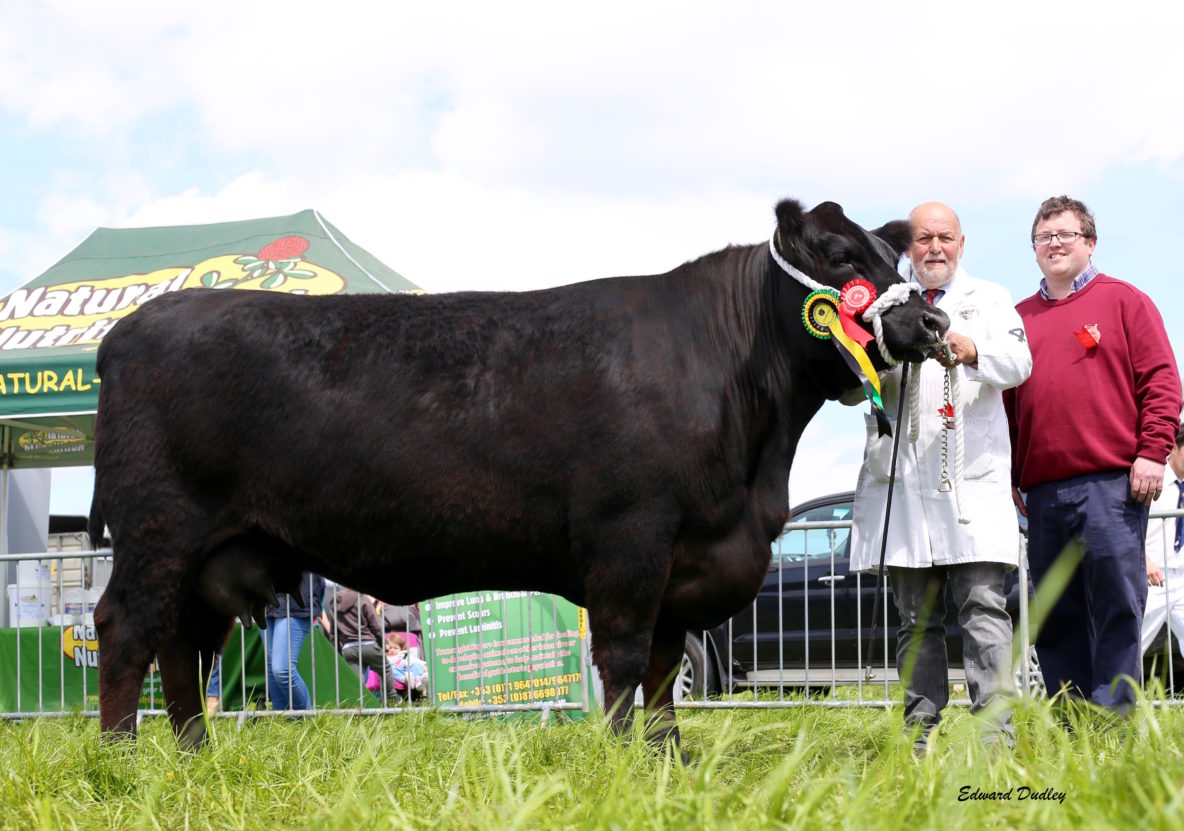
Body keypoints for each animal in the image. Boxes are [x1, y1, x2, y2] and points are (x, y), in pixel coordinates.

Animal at [88, 199, 949, 751]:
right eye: (839, 258)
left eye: (894, 258)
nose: (933, 320)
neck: (753, 473)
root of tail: (132, 327)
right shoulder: (631, 540)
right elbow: (626, 660)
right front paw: (621, 759)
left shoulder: (686, 561)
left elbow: (665, 668)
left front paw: (669, 756)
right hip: (158, 529)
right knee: (127, 627)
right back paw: (123, 758)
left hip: (216, 552)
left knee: (184, 644)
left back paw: (195, 756)